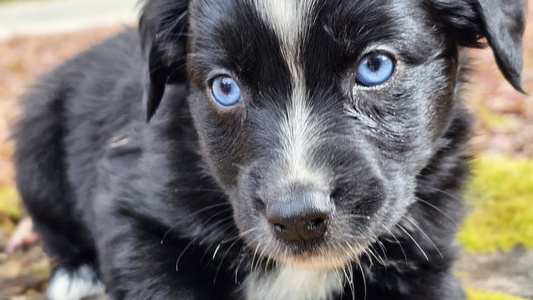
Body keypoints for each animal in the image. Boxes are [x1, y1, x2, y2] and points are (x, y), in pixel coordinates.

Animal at [13, 0, 524, 300]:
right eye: (224, 88)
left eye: (376, 66)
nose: (298, 220)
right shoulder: (132, 209)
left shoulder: (425, 250)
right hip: (35, 149)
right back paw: (77, 276)